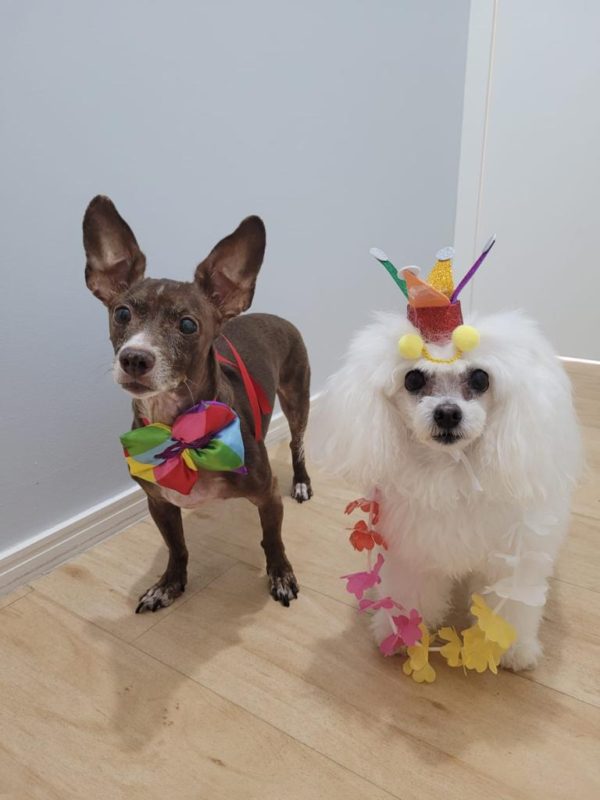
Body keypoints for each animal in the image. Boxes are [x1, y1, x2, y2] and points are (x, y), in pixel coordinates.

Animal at [84, 197, 312, 608]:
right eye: (122, 313)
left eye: (188, 325)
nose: (134, 358)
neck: (179, 432)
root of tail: (276, 316)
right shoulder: (159, 503)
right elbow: (177, 547)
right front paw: (168, 585)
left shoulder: (268, 495)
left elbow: (272, 540)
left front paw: (281, 575)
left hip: (297, 401)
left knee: (297, 443)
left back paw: (302, 482)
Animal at [316, 310, 584, 672]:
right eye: (413, 379)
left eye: (481, 378)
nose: (446, 412)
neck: (451, 469)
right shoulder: (413, 553)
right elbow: (410, 597)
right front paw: (403, 636)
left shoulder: (510, 560)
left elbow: (512, 606)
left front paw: (511, 648)